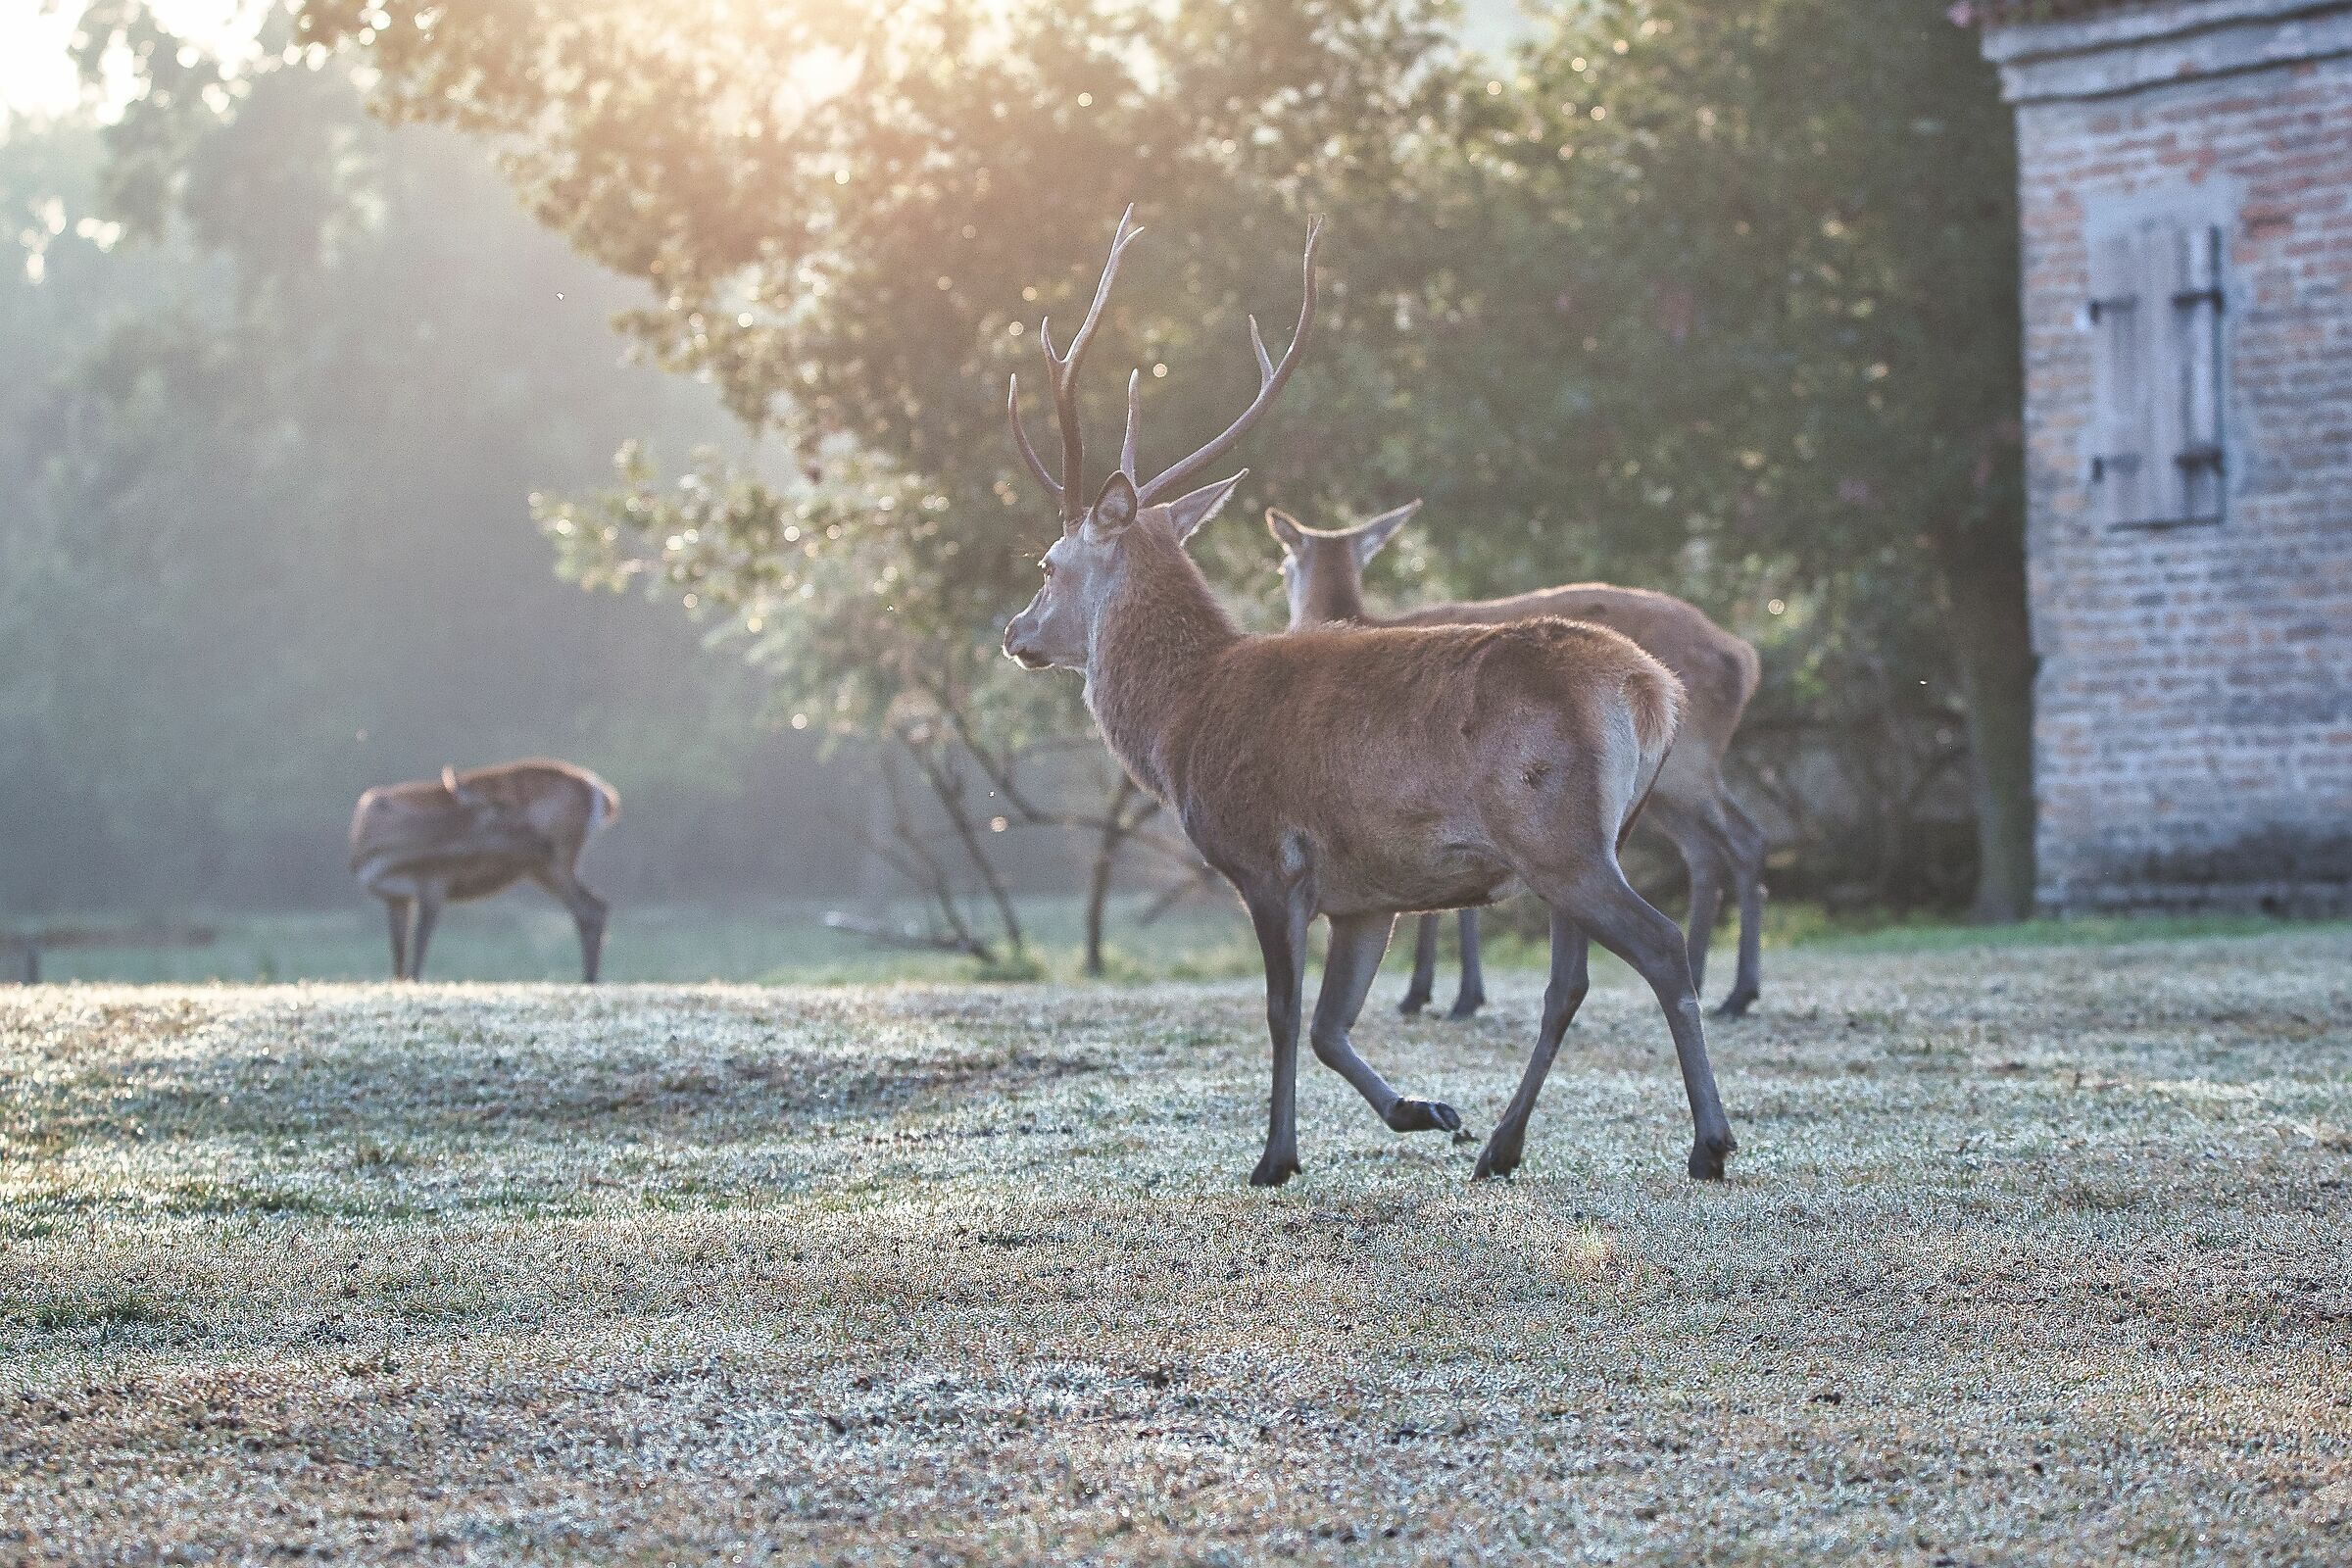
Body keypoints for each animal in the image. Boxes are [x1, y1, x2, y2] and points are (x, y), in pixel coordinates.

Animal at [348, 759, 618, 982]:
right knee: (591, 906)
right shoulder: (395, 897)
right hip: (543, 867)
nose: (542, 843)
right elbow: (399, 951)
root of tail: (604, 795)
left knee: (590, 907)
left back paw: (589, 979)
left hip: (556, 861)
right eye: (507, 816)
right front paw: (401, 982)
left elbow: (420, 940)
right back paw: (589, 978)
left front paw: (415, 982)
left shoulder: (435, 881)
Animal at [1266, 504, 1769, 1021]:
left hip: (1691, 761)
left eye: (1282, 568)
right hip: (1658, 790)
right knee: (1703, 851)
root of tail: (1745, 659)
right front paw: (1447, 992)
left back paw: (1739, 992)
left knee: (1745, 836)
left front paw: (1440, 994)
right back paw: (1708, 982)